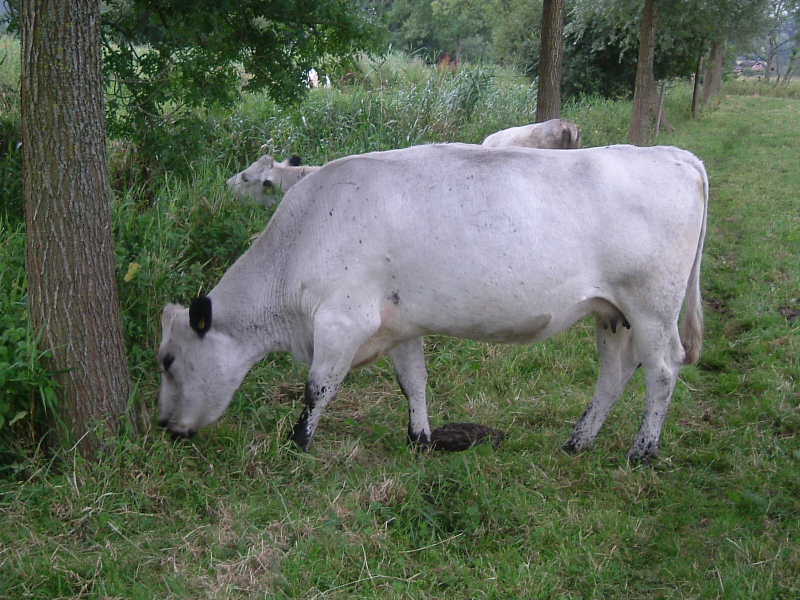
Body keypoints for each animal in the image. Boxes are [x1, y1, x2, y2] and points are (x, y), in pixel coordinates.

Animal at [158, 143, 708, 462]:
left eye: (167, 359)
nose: (165, 427)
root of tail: (675, 153)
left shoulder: (341, 322)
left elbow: (318, 387)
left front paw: (298, 445)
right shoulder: (401, 324)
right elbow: (413, 381)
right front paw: (420, 439)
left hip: (652, 307)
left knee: (663, 370)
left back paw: (643, 450)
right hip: (611, 314)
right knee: (615, 374)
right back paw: (578, 442)